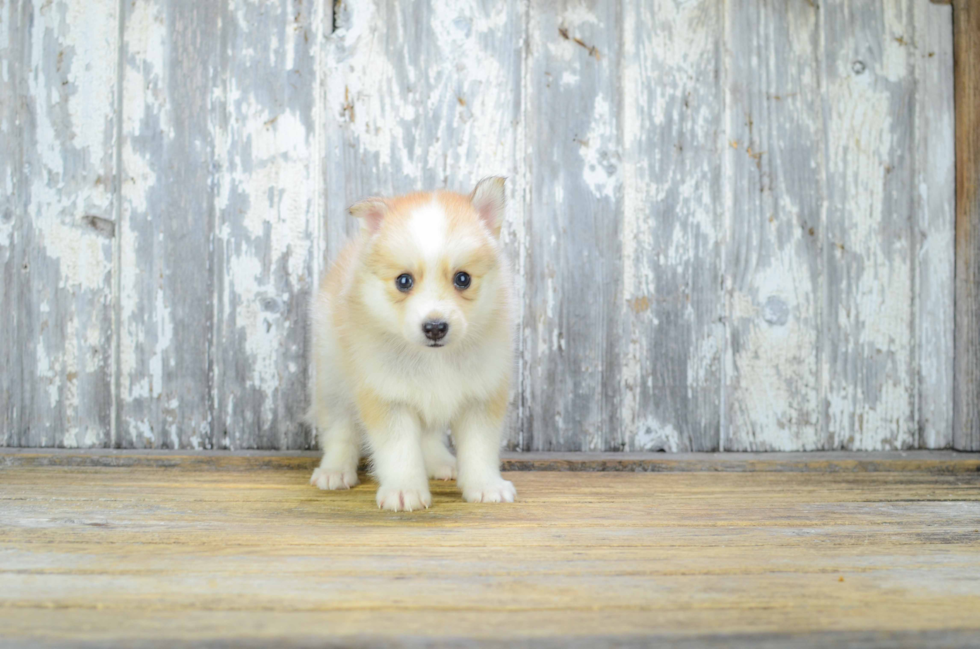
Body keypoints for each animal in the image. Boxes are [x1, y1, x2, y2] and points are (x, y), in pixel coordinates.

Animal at [310, 177, 516, 512]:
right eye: (403, 281)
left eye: (463, 279)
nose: (435, 328)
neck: (435, 360)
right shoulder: (388, 397)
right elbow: (399, 450)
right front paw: (404, 490)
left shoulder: (480, 396)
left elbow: (479, 448)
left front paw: (486, 486)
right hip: (333, 379)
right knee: (340, 429)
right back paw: (334, 471)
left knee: (429, 433)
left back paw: (439, 462)